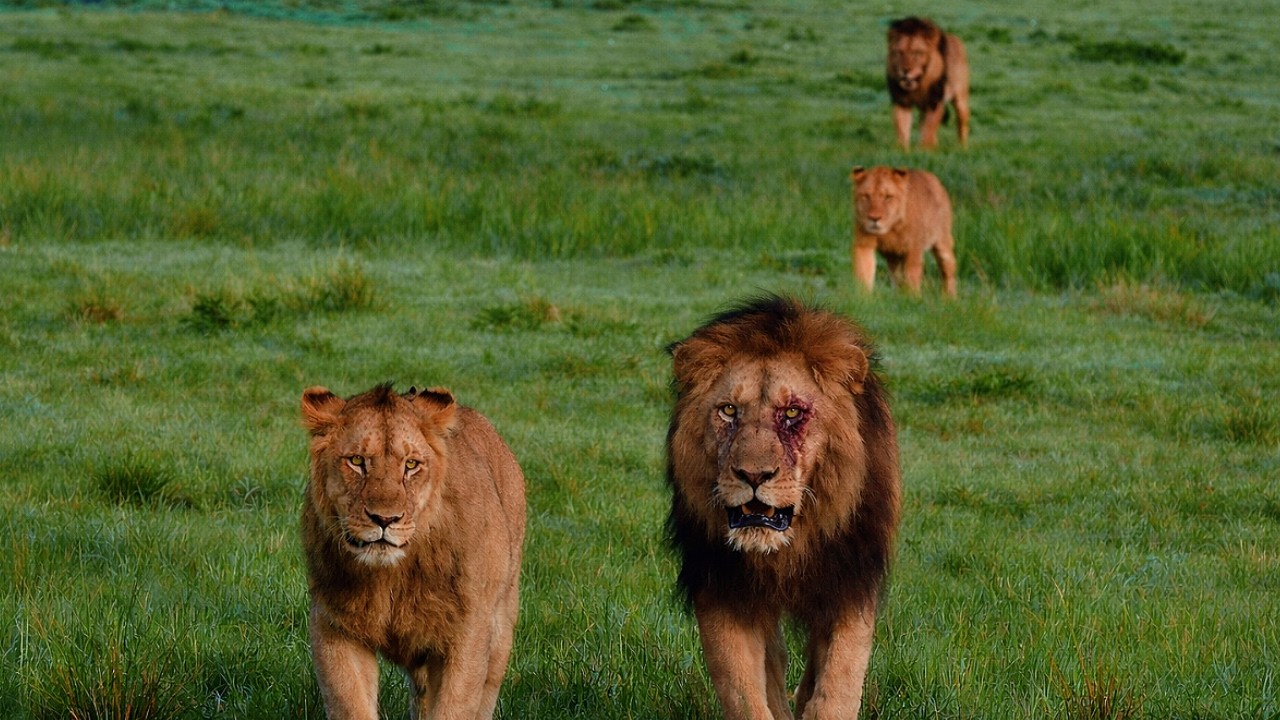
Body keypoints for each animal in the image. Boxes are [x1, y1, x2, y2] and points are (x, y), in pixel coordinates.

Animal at [300, 383, 525, 720]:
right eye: (357, 460)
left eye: (410, 465)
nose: (384, 519)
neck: (391, 575)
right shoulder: (334, 626)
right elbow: (350, 704)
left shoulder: (467, 632)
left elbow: (455, 707)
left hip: (500, 625)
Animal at [666, 296, 902, 720]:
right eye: (729, 411)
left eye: (792, 412)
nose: (753, 474)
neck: (786, 549)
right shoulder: (721, 589)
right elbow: (743, 692)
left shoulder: (851, 581)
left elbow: (839, 683)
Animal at [851, 165, 957, 297]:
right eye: (866, 196)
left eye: (888, 197)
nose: (874, 218)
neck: (889, 229)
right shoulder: (864, 246)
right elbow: (864, 274)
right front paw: (863, 297)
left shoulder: (913, 250)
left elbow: (912, 278)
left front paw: (912, 299)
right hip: (893, 257)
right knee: (896, 277)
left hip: (943, 243)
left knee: (949, 271)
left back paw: (950, 298)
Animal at [886, 16, 970, 150]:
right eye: (899, 52)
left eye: (917, 53)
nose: (905, 70)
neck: (919, 85)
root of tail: (956, 39)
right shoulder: (902, 102)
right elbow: (902, 128)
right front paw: (902, 150)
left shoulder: (934, 102)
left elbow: (929, 128)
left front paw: (925, 150)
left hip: (960, 100)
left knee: (962, 125)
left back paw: (962, 147)